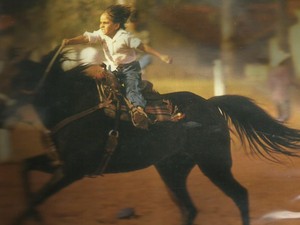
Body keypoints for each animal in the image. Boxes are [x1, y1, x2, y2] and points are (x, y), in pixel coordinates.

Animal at [2, 48, 300, 225]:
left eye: (16, 76)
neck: (75, 105)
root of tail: (210, 104)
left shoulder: (72, 170)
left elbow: (36, 195)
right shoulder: (59, 163)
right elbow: (25, 170)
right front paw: (36, 216)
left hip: (214, 165)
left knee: (240, 195)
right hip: (172, 169)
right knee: (189, 209)